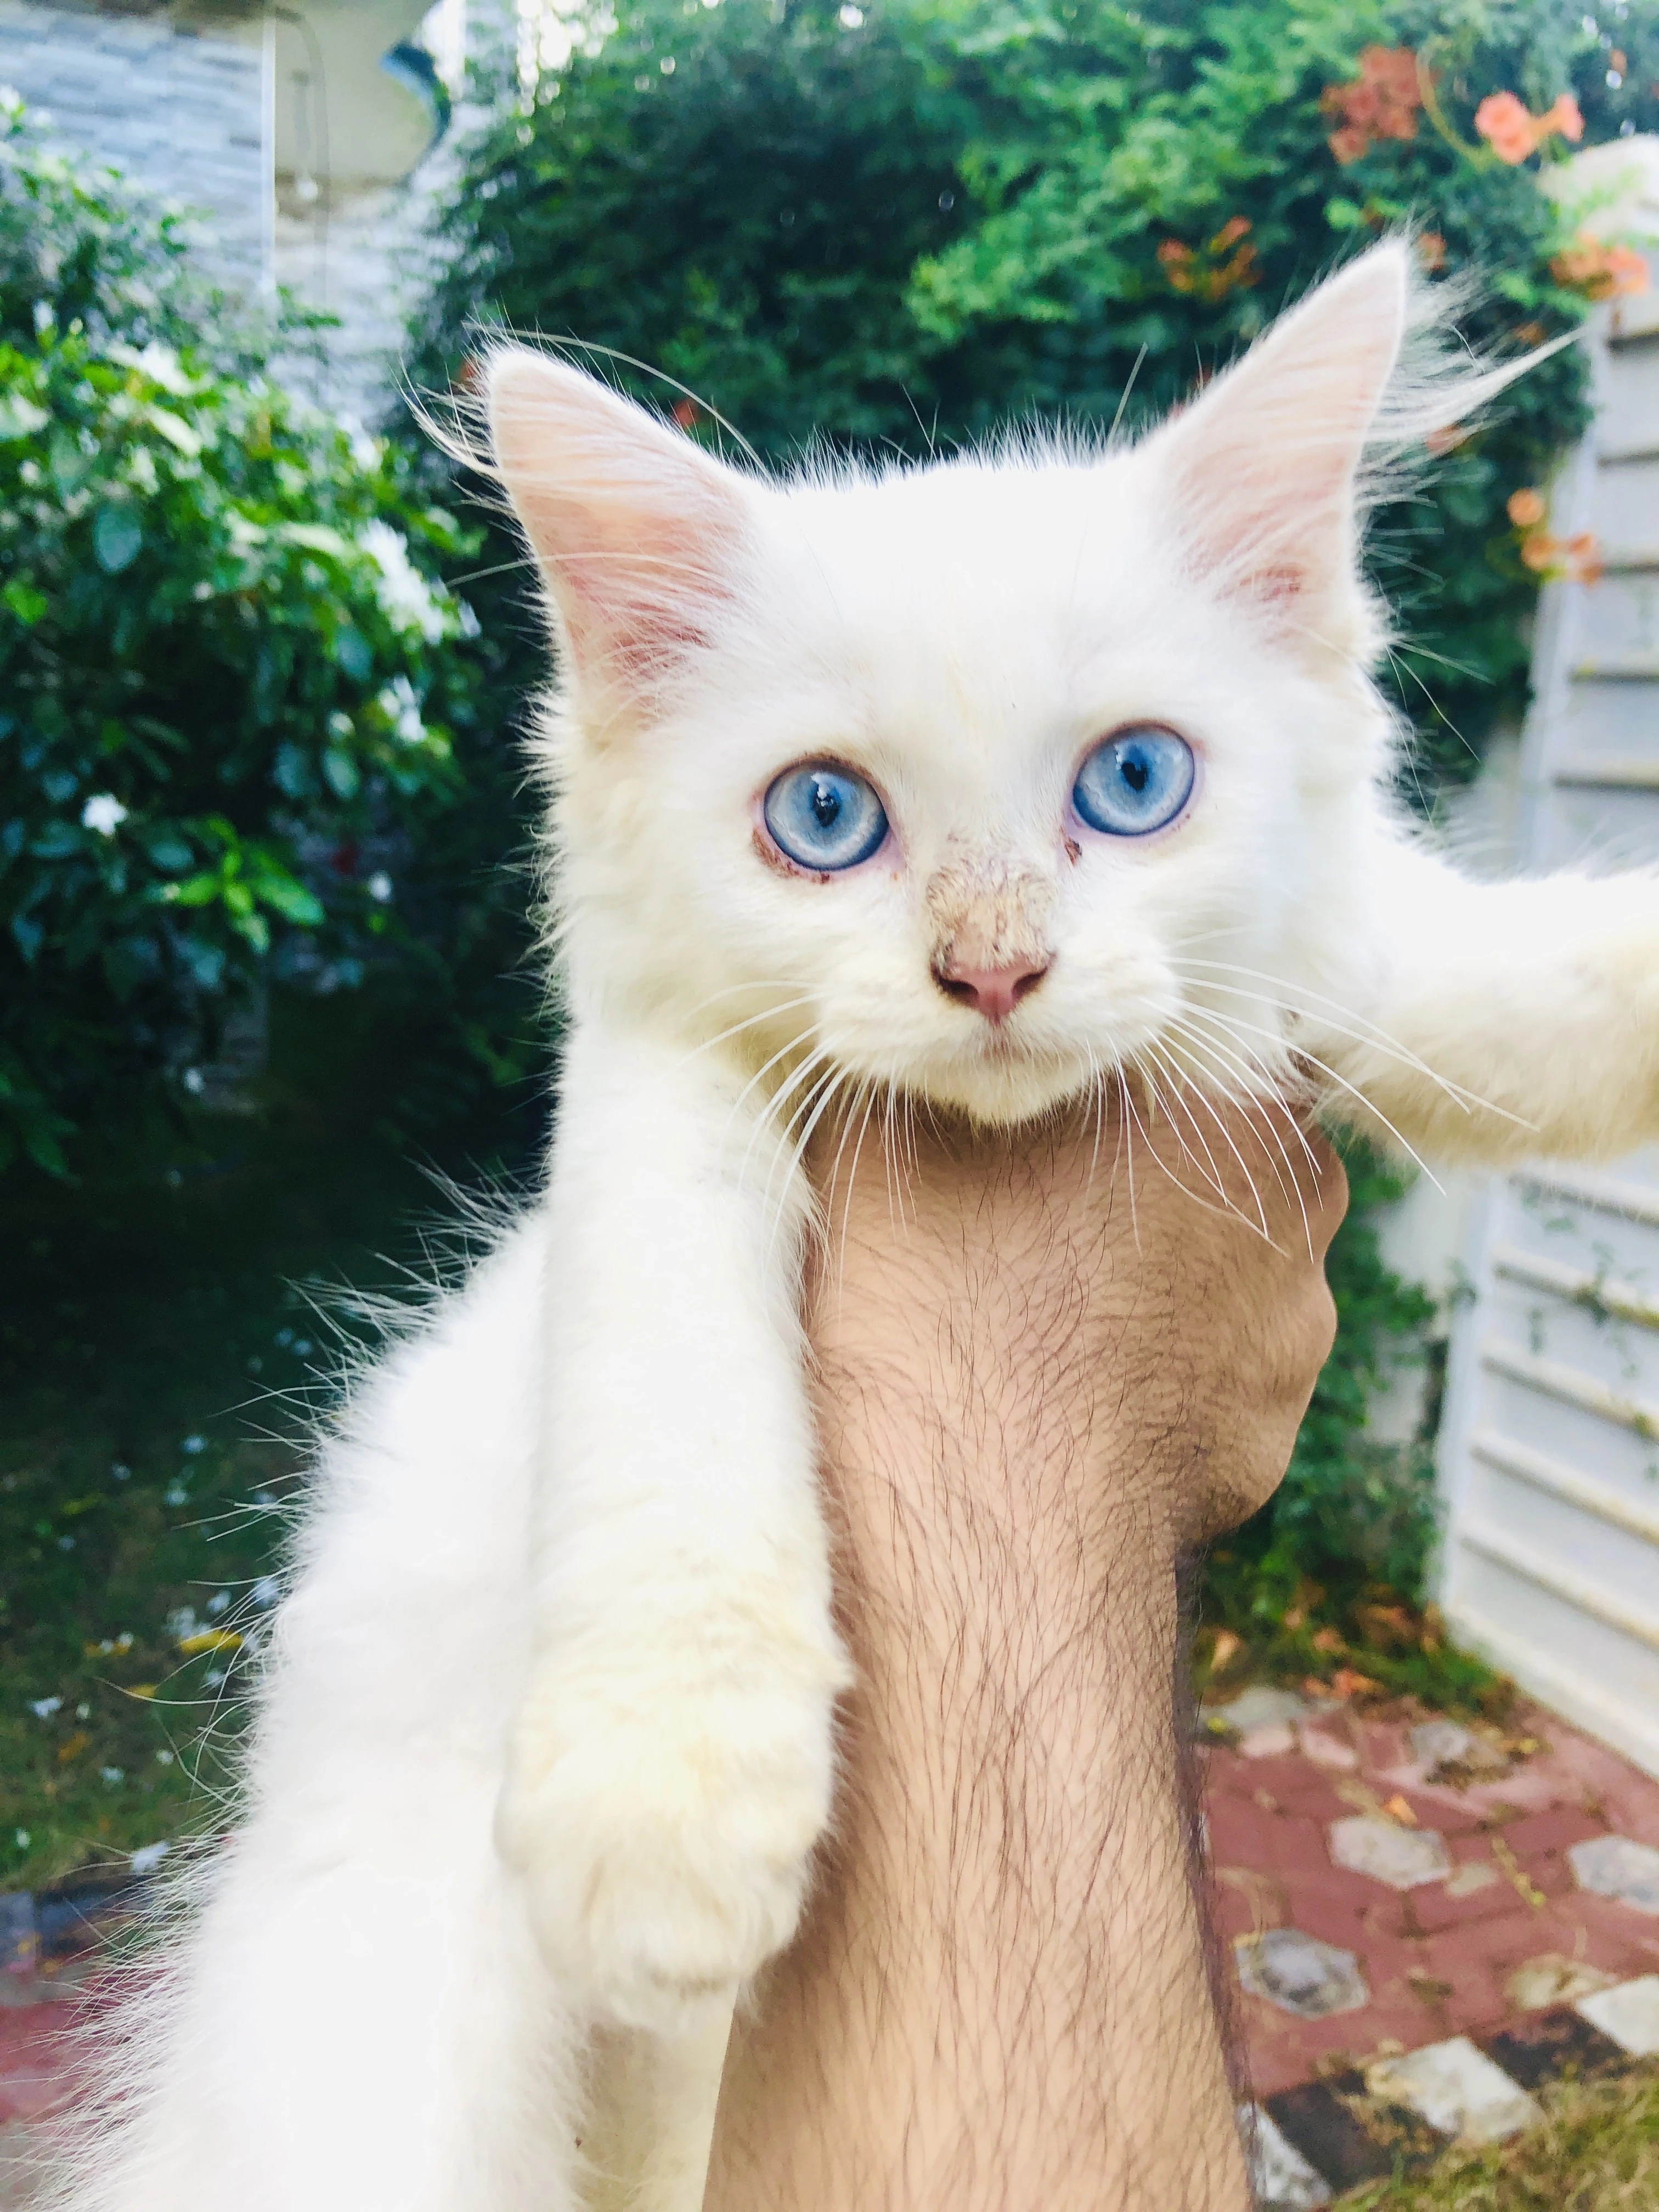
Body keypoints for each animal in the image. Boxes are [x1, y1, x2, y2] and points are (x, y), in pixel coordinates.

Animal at [52, 242, 1659, 2212]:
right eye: (824, 816)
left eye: (1135, 783)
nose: (993, 970)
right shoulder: (653, 1082)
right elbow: (669, 1378)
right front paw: (671, 1787)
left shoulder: (1313, 950)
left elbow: (1478, 972)